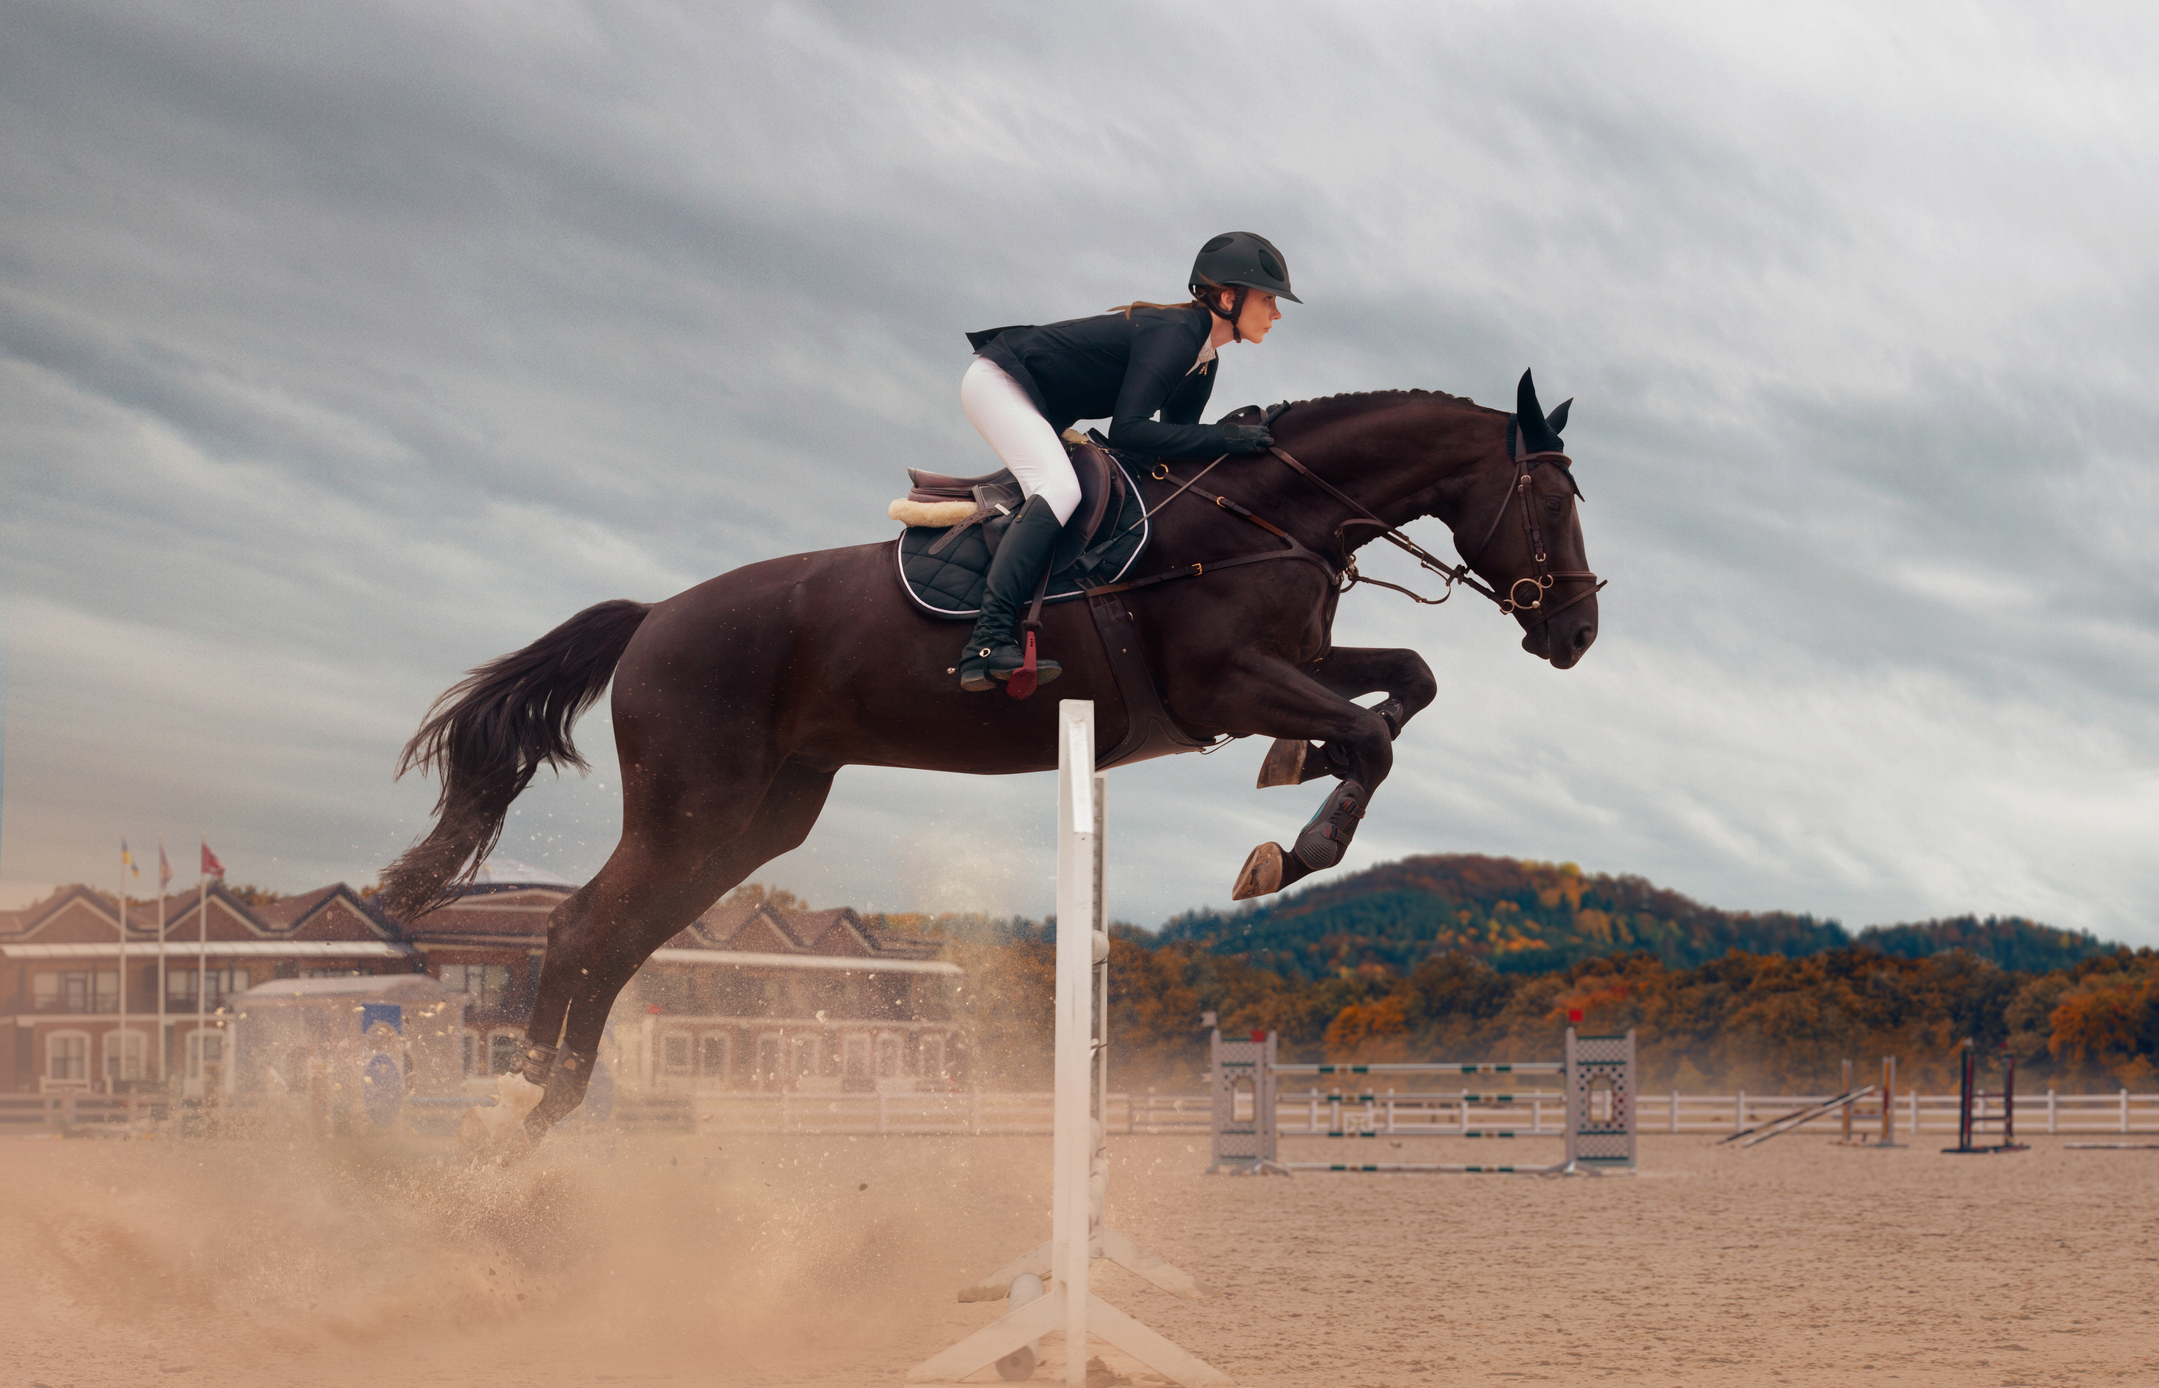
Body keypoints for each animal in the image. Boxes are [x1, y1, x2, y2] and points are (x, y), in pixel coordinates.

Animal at [384, 371, 1606, 1139]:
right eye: (1551, 498)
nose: (1578, 631)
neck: (1263, 514)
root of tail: (650, 617)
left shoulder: (1295, 660)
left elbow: (1407, 681)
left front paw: (1292, 775)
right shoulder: (1225, 680)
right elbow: (1371, 732)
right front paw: (1287, 849)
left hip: (756, 820)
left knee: (622, 940)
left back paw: (545, 1110)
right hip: (694, 804)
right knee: (583, 929)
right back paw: (523, 1105)